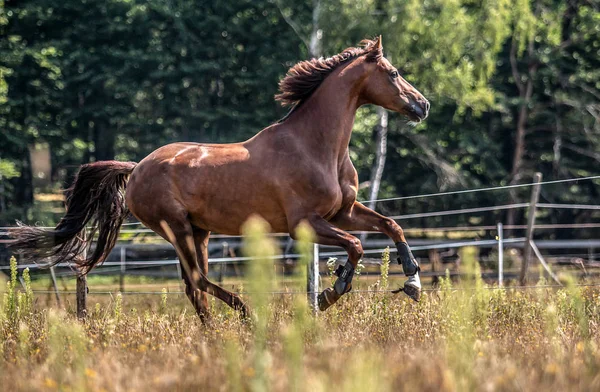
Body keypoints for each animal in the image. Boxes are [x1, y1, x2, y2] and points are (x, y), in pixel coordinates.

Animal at [10, 36, 432, 318]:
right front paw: (332, 292)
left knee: (193, 287)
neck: (316, 147)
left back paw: (216, 333)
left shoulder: (342, 212)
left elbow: (391, 225)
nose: (423, 105)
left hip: (199, 232)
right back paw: (246, 313)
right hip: (178, 229)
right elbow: (356, 246)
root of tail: (136, 168)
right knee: (197, 282)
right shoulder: (305, 224)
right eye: (393, 72)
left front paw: (413, 282)